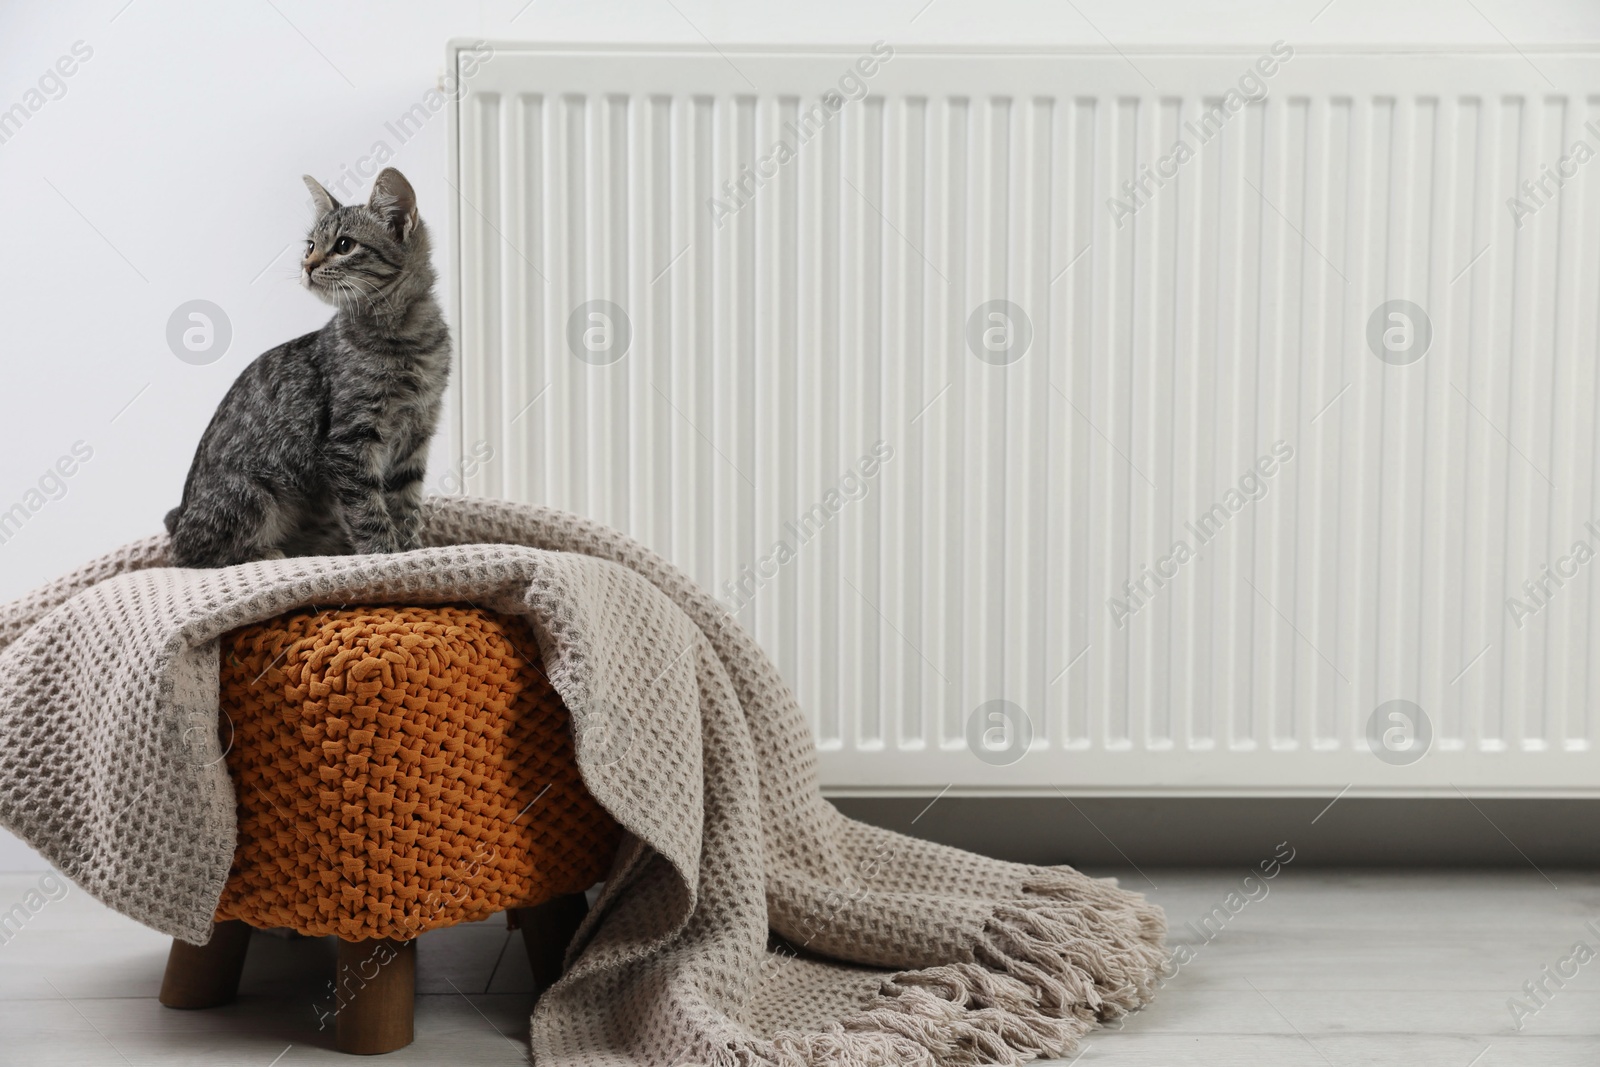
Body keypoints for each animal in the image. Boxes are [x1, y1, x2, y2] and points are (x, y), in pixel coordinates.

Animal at [166, 167, 451, 566]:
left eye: (344, 245)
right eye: (310, 245)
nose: (306, 265)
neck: (405, 339)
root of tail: (180, 518)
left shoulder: (417, 434)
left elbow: (405, 505)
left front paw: (412, 551)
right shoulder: (349, 442)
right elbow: (368, 510)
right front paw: (384, 556)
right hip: (256, 492)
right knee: (193, 556)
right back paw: (268, 553)